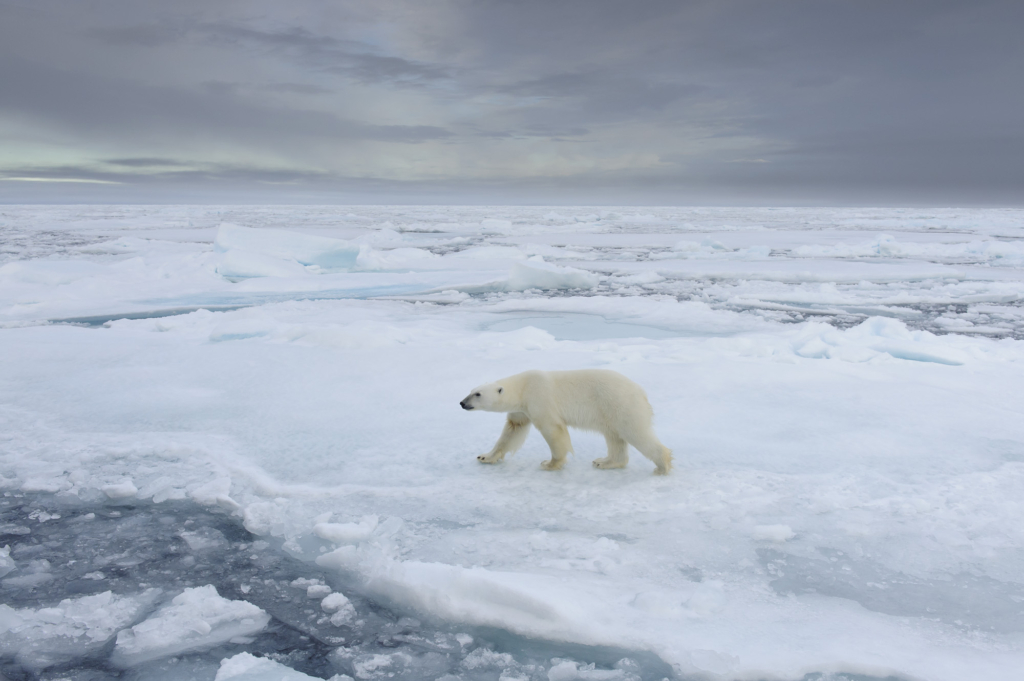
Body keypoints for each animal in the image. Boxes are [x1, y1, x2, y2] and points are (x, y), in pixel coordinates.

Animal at [458, 372, 667, 473]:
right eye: (471, 390)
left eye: (478, 394)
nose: (462, 403)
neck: (523, 387)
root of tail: (641, 392)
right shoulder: (521, 409)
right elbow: (512, 430)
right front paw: (485, 456)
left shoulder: (539, 397)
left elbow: (553, 429)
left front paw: (549, 464)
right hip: (611, 412)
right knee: (614, 437)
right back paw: (604, 461)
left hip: (620, 404)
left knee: (636, 433)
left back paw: (662, 465)